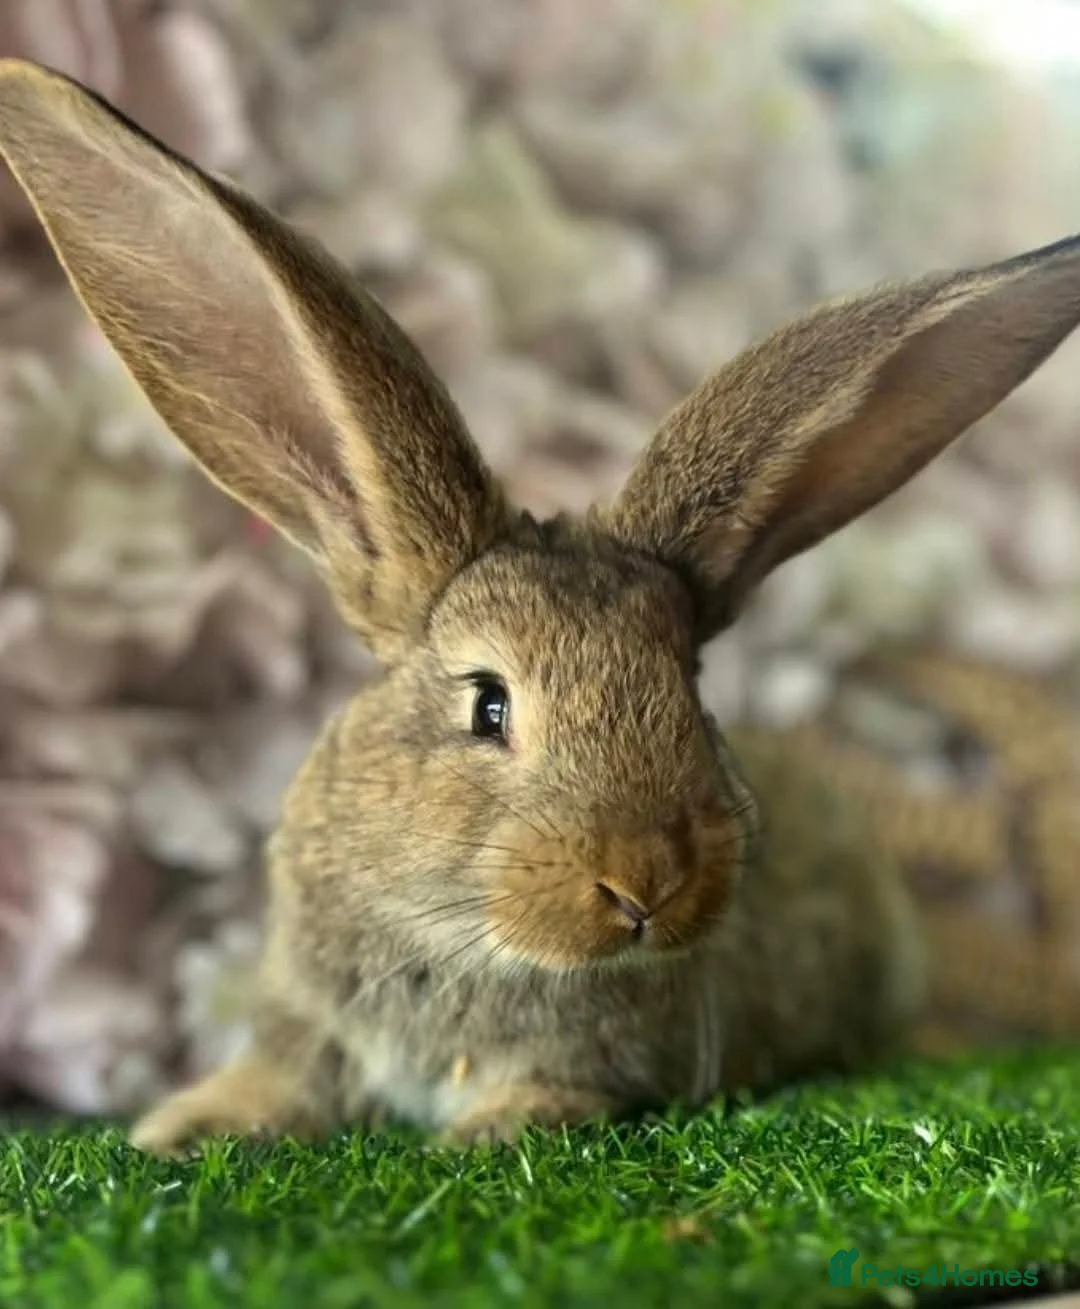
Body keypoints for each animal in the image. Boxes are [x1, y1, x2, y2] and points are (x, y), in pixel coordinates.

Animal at [1, 58, 1080, 1152]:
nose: (646, 882)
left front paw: (474, 1139)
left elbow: (533, 1106)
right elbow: (277, 1080)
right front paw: (182, 1127)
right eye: (489, 704)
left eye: (691, 692)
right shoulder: (310, 1024)